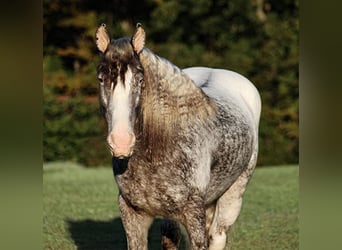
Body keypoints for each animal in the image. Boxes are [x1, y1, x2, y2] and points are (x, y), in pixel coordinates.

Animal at [95, 22, 260, 249]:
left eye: (140, 79)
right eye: (101, 79)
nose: (121, 142)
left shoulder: (193, 214)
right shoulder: (131, 214)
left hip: (234, 194)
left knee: (218, 234)